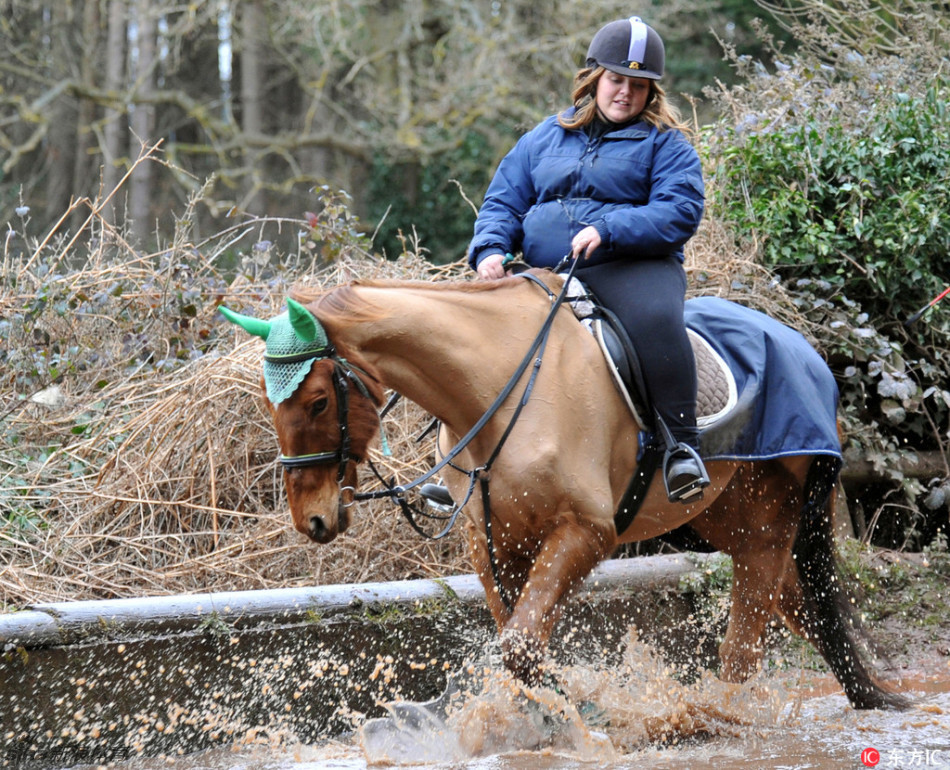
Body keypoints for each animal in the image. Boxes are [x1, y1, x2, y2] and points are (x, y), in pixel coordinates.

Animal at [221, 268, 908, 708]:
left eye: (316, 400)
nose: (312, 520)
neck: (500, 388)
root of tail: (807, 352)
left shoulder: (585, 532)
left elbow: (522, 645)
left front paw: (580, 709)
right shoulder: (492, 541)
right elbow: (517, 642)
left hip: (770, 519)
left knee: (745, 645)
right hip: (734, 519)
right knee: (800, 609)